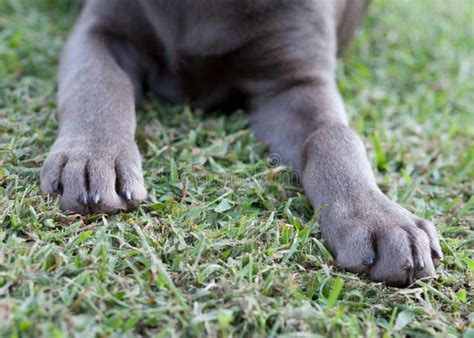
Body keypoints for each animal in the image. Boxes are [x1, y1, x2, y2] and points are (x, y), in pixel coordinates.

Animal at [39, 0, 440, 286]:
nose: (90, 156)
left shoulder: (295, 82)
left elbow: (334, 136)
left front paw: (379, 218)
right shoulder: (101, 32)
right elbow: (100, 82)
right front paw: (93, 156)